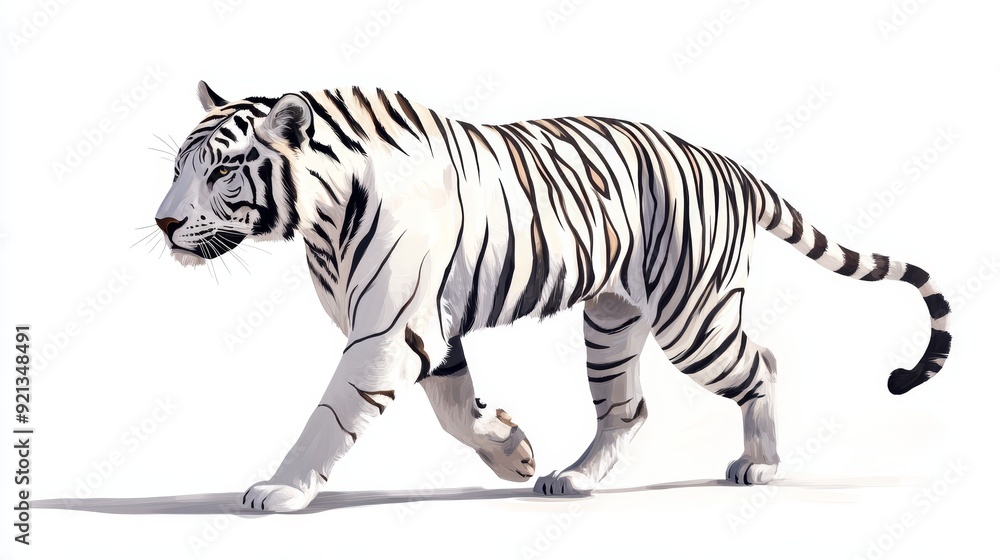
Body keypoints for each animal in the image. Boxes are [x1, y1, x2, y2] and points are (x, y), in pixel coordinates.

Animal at [153, 81, 952, 512]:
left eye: (221, 171)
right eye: (178, 166)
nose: (162, 222)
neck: (319, 221)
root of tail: (730, 163)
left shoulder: (387, 333)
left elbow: (330, 416)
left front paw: (279, 489)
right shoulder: (429, 332)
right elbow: (457, 411)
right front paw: (515, 454)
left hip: (692, 319)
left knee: (765, 363)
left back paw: (760, 464)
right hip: (612, 321)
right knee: (628, 407)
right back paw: (572, 478)